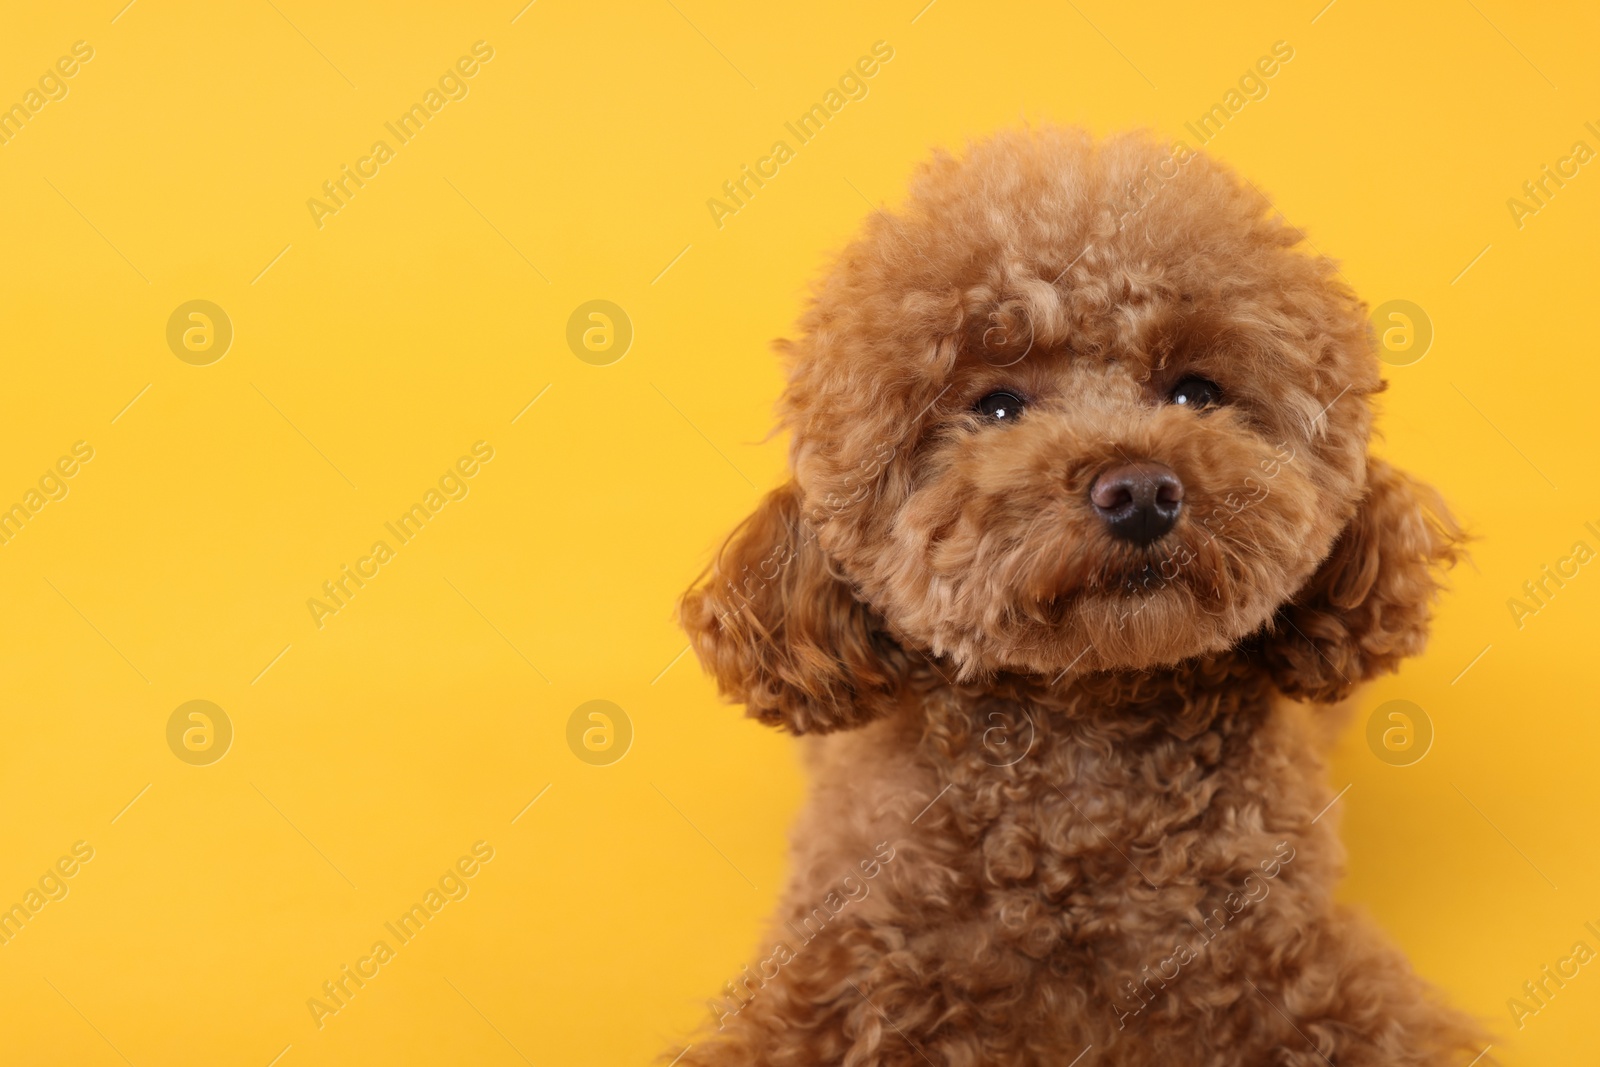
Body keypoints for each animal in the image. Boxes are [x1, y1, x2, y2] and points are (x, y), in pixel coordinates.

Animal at [668, 127, 1478, 1067]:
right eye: (997, 406)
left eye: (1196, 391)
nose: (1140, 491)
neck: (1084, 757)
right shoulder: (843, 966)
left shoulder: (1297, 965)